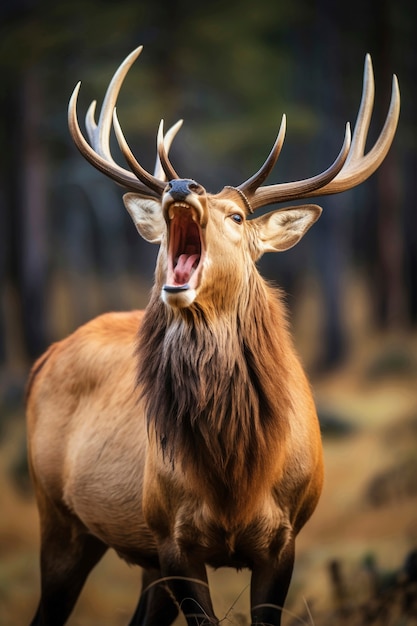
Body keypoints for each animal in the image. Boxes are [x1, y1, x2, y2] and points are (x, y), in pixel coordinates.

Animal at [27, 45, 398, 624]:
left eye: (239, 215)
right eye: (166, 207)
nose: (180, 185)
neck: (235, 479)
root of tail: (44, 357)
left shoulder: (284, 539)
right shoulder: (173, 539)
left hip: (133, 554)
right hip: (59, 516)